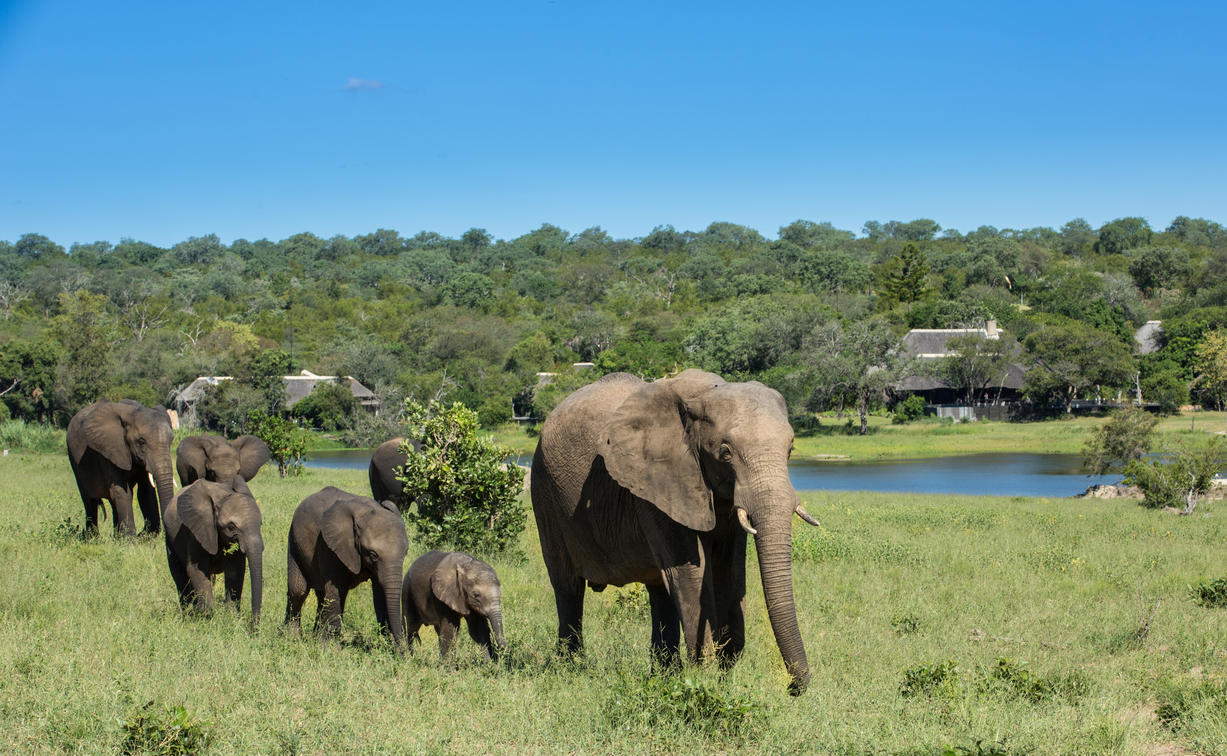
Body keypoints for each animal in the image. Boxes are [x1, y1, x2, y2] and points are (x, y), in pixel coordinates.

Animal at [67, 397, 177, 535]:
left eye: (171, 440)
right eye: (141, 441)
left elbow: (145, 492)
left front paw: (141, 536)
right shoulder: (108, 449)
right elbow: (122, 492)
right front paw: (131, 539)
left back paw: (116, 537)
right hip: (74, 460)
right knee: (89, 501)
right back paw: (92, 537)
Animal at [161, 478, 262, 625]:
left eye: (260, 524)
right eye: (231, 527)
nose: (252, 627)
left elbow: (235, 570)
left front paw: (231, 618)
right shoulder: (197, 530)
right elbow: (196, 569)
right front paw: (206, 618)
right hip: (169, 538)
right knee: (179, 576)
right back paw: (188, 615)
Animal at [284, 488, 409, 648]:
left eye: (405, 552)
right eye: (373, 555)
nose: (404, 651)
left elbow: (380, 593)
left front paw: (385, 645)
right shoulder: (328, 545)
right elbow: (336, 589)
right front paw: (330, 648)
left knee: (322, 595)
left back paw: (314, 638)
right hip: (294, 541)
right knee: (299, 591)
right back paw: (292, 639)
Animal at [532, 368, 819, 692]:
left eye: (790, 449)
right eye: (725, 453)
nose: (793, 688)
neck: (706, 393)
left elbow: (728, 571)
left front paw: (723, 677)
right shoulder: (658, 482)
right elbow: (691, 572)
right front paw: (705, 677)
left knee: (660, 590)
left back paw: (663, 675)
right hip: (545, 490)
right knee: (567, 586)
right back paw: (571, 668)